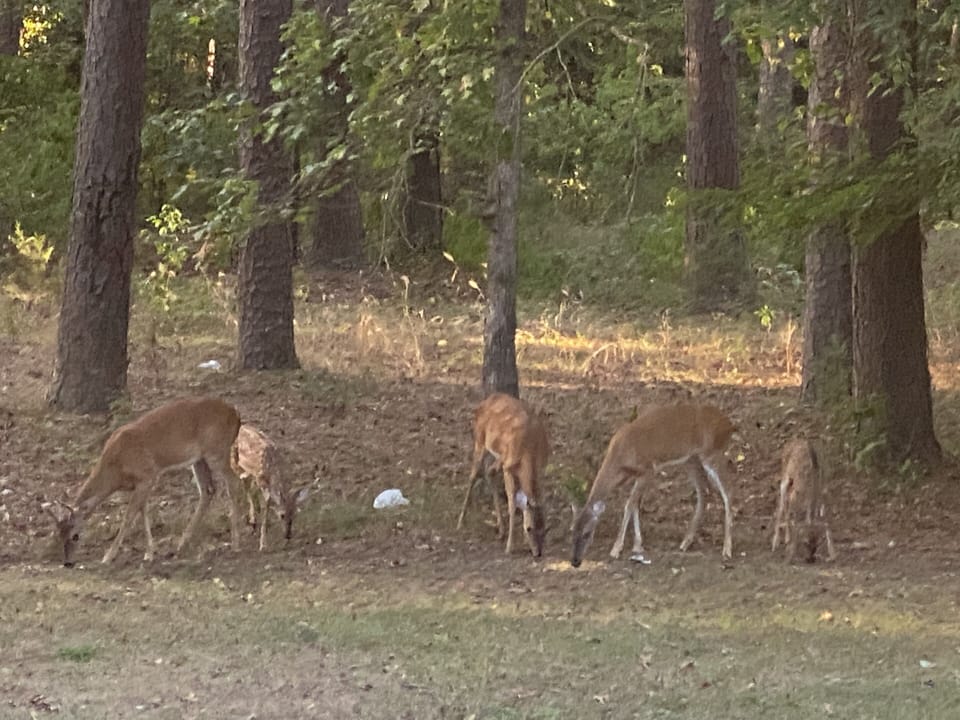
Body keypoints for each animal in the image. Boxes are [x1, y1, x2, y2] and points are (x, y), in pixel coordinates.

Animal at [45, 396, 244, 566]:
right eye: (59, 534)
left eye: (75, 535)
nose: (68, 562)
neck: (116, 469)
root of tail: (235, 413)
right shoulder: (141, 483)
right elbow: (143, 512)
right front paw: (149, 553)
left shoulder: (148, 475)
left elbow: (129, 517)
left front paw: (108, 556)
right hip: (199, 459)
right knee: (208, 490)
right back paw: (181, 544)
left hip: (217, 450)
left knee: (234, 482)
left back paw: (235, 544)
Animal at [457, 393, 550, 557]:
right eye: (529, 528)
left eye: (544, 529)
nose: (537, 553)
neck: (530, 449)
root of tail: (486, 400)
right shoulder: (508, 468)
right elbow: (512, 504)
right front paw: (509, 547)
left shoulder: (540, 468)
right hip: (480, 441)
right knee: (473, 476)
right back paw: (460, 522)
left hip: (500, 457)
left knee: (489, 472)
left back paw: (501, 529)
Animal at [570, 402, 735, 568]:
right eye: (572, 530)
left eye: (587, 533)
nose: (575, 562)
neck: (620, 458)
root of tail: (729, 424)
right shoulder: (638, 476)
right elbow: (635, 506)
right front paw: (637, 545)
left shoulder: (648, 470)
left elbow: (629, 505)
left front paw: (616, 548)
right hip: (691, 460)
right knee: (704, 492)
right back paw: (686, 542)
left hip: (712, 453)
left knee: (728, 492)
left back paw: (727, 550)